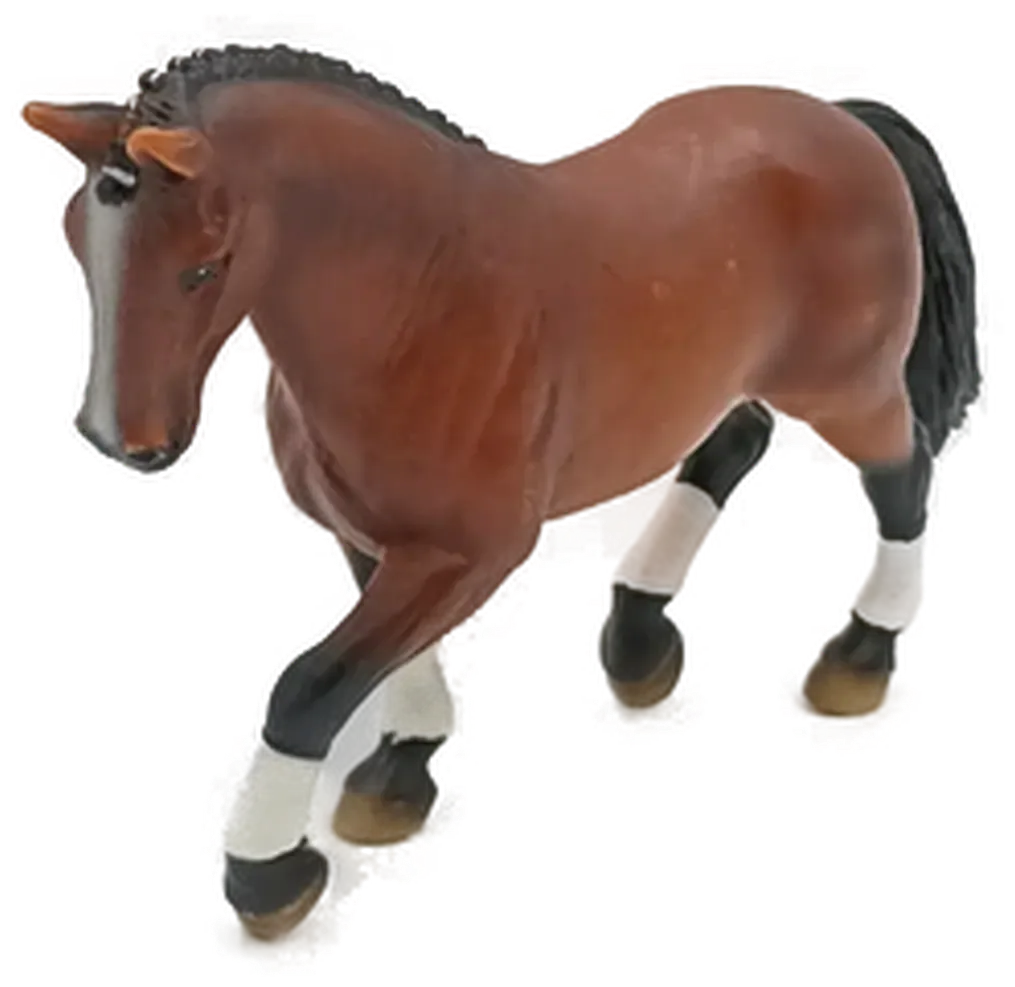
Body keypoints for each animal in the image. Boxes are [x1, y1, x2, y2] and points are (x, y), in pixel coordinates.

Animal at [16, 40, 982, 961]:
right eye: (75, 242)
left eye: (201, 269)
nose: (120, 442)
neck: (421, 302)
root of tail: (842, 117)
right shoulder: (379, 538)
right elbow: (386, 652)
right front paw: (401, 777)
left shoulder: (474, 552)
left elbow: (309, 688)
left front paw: (272, 879)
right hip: (732, 382)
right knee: (725, 454)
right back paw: (638, 642)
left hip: (846, 385)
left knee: (900, 480)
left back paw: (857, 658)